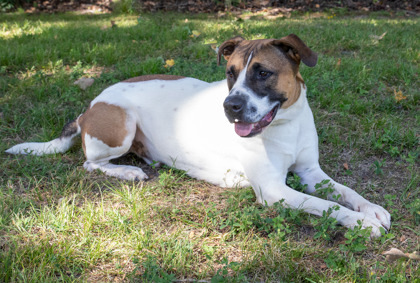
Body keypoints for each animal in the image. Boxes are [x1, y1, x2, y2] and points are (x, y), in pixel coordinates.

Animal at [5, 33, 390, 237]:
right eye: (230, 72)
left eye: (263, 73)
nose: (230, 106)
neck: (285, 124)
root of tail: (89, 107)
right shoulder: (275, 191)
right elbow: (326, 205)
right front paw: (359, 221)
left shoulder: (311, 172)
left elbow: (345, 191)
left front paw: (370, 209)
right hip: (121, 123)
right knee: (90, 163)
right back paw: (128, 171)